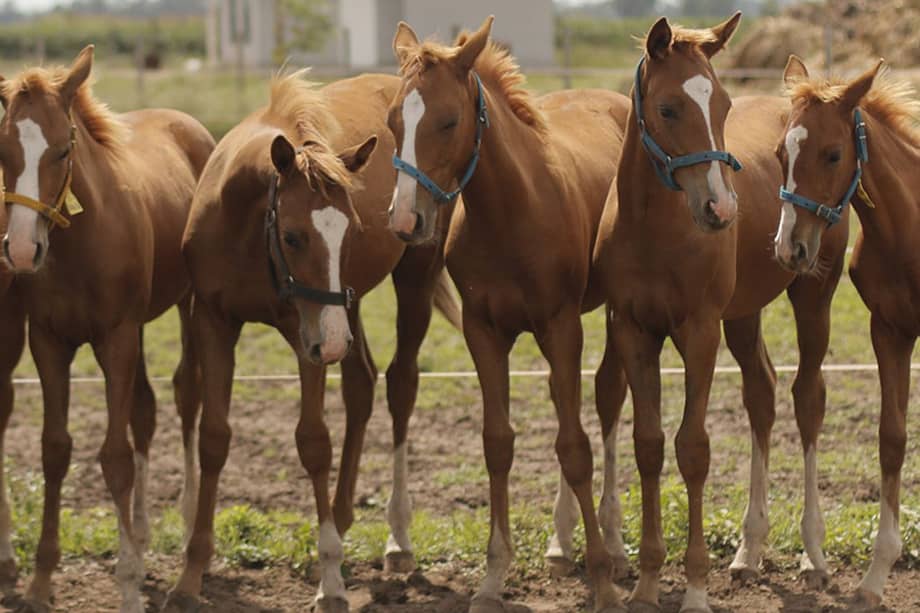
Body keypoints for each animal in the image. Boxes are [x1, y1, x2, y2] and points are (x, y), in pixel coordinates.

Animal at [0, 46, 215, 612]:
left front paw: (129, 586)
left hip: (187, 306)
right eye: (4, 150)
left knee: (186, 394)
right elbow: (56, 450)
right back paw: (138, 531)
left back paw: (185, 524)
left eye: (62, 149)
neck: (80, 242)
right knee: (145, 409)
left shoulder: (115, 337)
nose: (22, 251)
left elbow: (114, 457)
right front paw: (40, 581)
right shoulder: (48, 342)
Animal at [160, 70, 460, 613]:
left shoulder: (310, 340)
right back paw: (341, 516)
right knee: (361, 384)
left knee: (401, 385)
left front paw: (331, 580)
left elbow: (314, 442)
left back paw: (397, 541)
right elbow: (214, 437)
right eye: (295, 236)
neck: (249, 233)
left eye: (352, 232)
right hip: (346, 310)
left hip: (405, 283)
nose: (335, 343)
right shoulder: (214, 322)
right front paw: (190, 575)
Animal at [387, 16, 632, 612]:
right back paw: (560, 543)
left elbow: (574, 446)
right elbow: (498, 442)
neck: (512, 211)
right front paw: (493, 578)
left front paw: (603, 581)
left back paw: (613, 545)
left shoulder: (561, 325)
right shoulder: (484, 332)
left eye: (448, 120)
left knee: (608, 397)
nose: (406, 221)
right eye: (391, 121)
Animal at [591, 15, 849, 611]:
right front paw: (645, 584)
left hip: (813, 295)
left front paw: (694, 587)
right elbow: (648, 445)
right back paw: (749, 552)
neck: (654, 230)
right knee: (762, 393)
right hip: (745, 314)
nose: (721, 209)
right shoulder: (633, 329)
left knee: (808, 399)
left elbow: (693, 448)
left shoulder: (700, 331)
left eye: (724, 104)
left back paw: (813, 556)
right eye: (667, 108)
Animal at [774, 55, 918, 607]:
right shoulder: (890, 332)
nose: (790, 248)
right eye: (780, 154)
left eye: (833, 154)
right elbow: (891, 438)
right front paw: (876, 576)